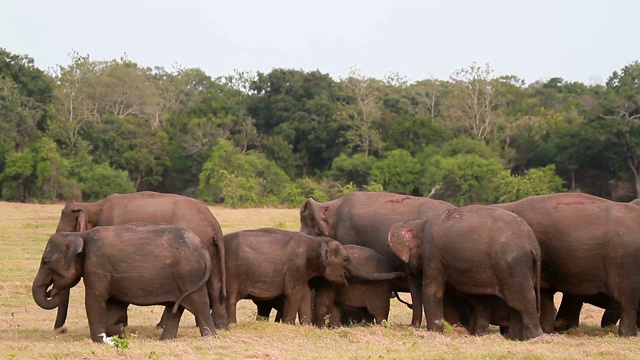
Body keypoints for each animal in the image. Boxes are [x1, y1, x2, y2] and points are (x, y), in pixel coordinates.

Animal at [31, 222, 218, 344]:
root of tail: (204, 249)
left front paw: (100, 341)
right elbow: (115, 305)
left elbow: (94, 300)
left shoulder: (97, 265)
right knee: (176, 308)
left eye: (45, 262)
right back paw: (165, 340)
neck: (81, 235)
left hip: (189, 276)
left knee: (199, 304)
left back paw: (210, 337)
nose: (51, 292)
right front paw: (120, 331)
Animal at [52, 191, 228, 332]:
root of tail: (214, 226)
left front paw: (121, 324)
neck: (93, 206)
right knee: (214, 283)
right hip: (209, 248)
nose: (60, 329)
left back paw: (164, 325)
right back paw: (220, 326)